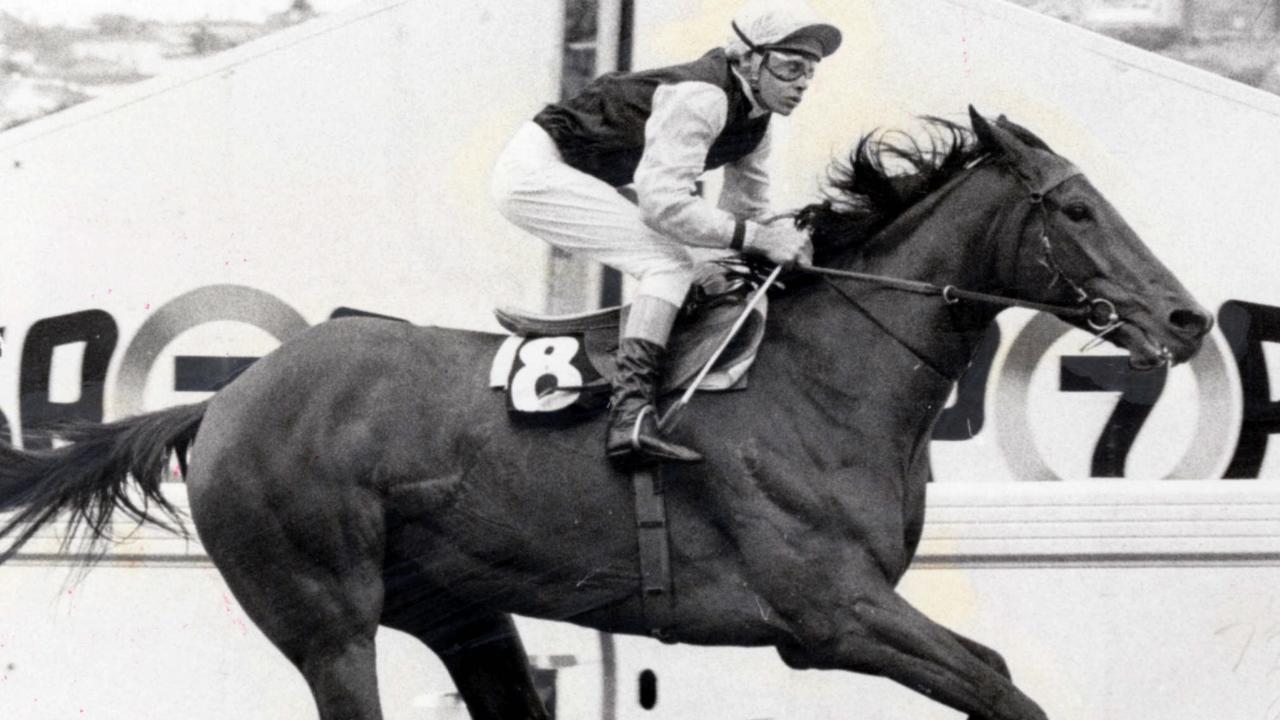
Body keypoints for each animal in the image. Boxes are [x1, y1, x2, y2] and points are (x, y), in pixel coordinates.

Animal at [0, 107, 1213, 717]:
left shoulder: (839, 622)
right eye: (1074, 209)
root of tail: (223, 401)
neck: (829, 377)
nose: (1188, 316)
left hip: (464, 614)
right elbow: (1007, 694)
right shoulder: (828, 614)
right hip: (325, 618)